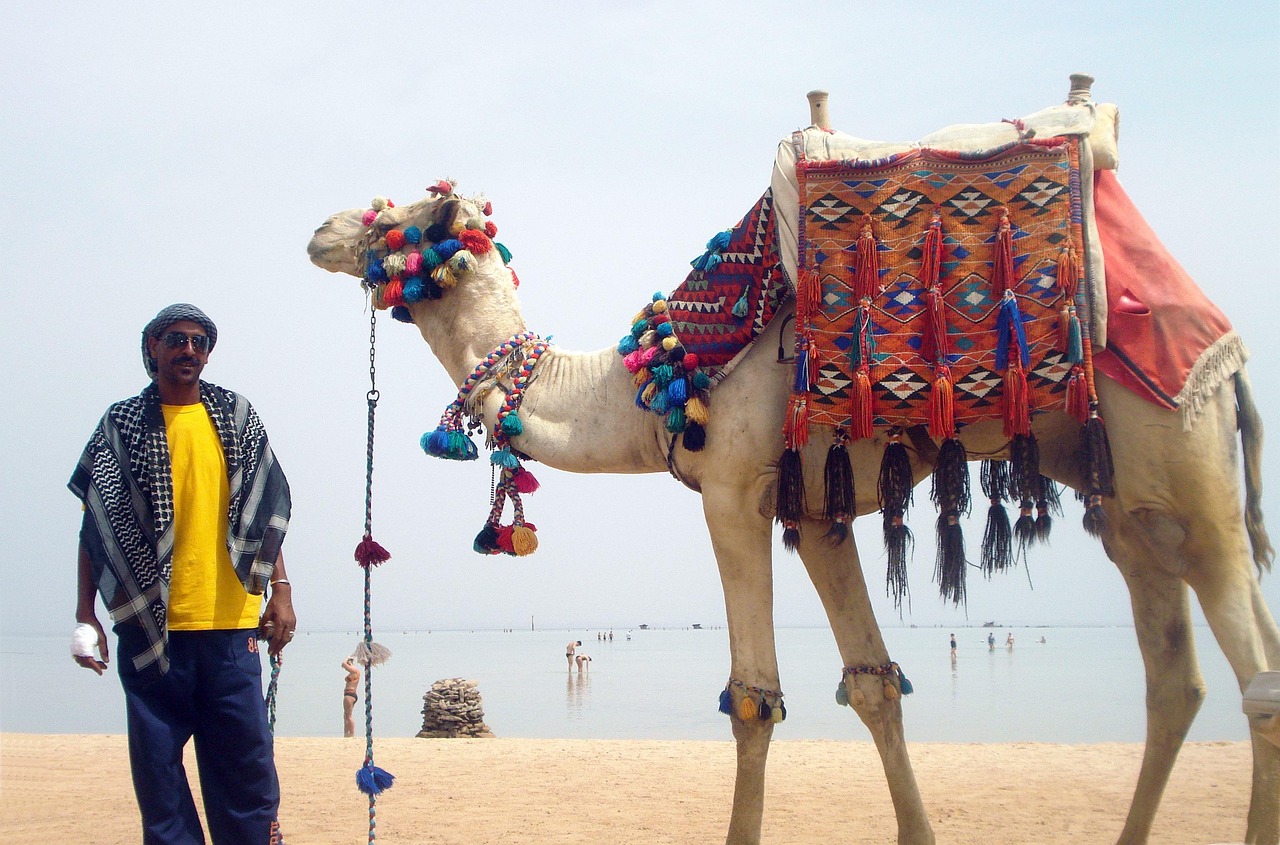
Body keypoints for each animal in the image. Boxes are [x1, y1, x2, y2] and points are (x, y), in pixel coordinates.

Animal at [309, 80, 1280, 845]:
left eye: (396, 218)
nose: (321, 228)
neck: (659, 382)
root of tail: (1222, 344)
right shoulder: (816, 515)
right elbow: (876, 684)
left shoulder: (734, 486)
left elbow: (753, 697)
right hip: (1127, 501)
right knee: (1174, 674)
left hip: (1184, 452)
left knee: (1257, 674)